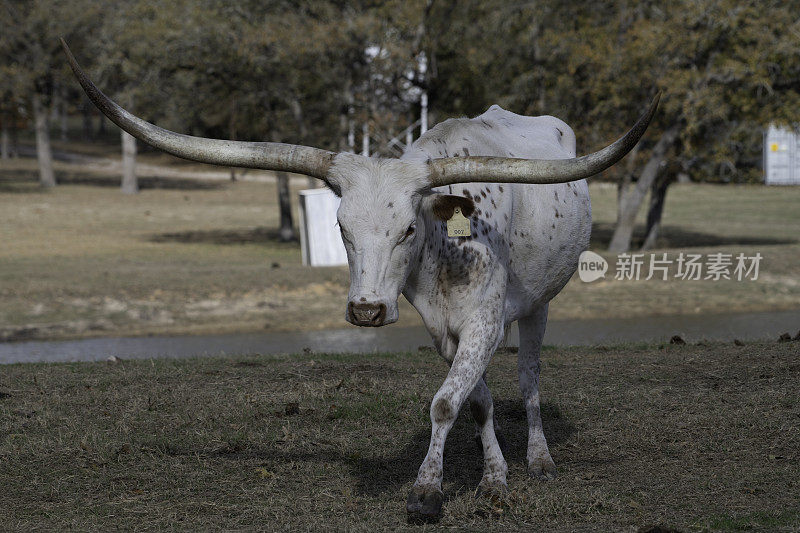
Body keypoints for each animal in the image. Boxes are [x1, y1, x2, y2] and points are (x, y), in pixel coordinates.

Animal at [64, 39, 656, 520]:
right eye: (340, 227)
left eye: (408, 227)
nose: (367, 311)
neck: (448, 248)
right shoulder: (443, 331)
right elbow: (473, 401)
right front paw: (489, 474)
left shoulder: (485, 321)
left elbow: (447, 402)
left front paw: (430, 492)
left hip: (540, 304)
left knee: (531, 378)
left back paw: (540, 457)